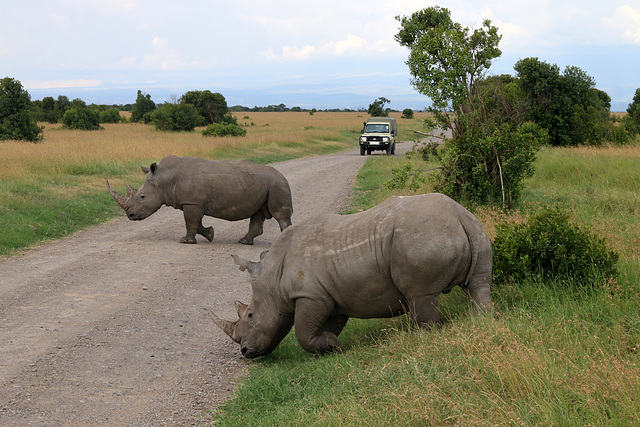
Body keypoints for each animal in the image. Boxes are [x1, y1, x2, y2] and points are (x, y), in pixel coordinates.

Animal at [107, 156, 292, 244]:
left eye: (142, 197)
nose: (130, 215)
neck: (165, 179)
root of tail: (282, 176)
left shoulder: (192, 202)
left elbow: (191, 222)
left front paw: (186, 241)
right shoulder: (193, 202)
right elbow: (197, 223)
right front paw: (210, 234)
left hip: (277, 184)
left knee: (279, 215)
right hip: (266, 186)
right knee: (258, 212)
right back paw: (244, 242)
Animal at [210, 194, 496, 358]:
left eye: (250, 315)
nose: (245, 352)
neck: (272, 277)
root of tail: (458, 214)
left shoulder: (310, 295)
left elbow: (303, 331)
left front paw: (333, 346)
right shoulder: (332, 297)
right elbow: (324, 326)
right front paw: (330, 345)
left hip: (422, 236)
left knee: (420, 295)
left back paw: (426, 336)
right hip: (473, 227)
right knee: (479, 283)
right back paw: (481, 321)